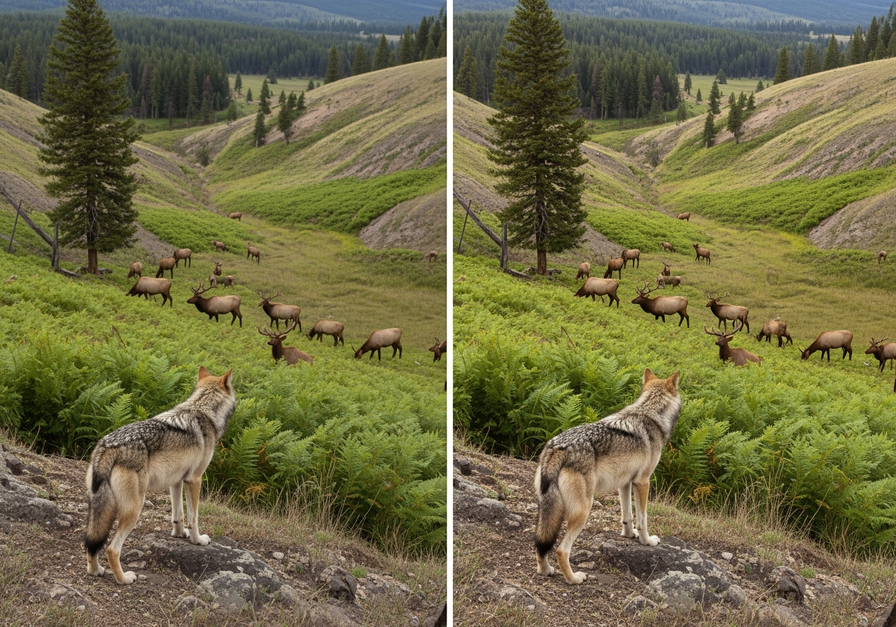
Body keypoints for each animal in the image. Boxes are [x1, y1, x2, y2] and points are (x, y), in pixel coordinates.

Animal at [84, 366, 236, 584]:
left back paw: (95, 570)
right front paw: (198, 540)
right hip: (134, 509)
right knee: (112, 549)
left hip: (100, 508)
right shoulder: (195, 479)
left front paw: (179, 534)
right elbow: (194, 518)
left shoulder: (176, 481)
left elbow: (178, 515)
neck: (204, 410)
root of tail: (106, 447)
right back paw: (124, 578)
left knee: (92, 542)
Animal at [534, 368, 681, 584]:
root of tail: (556, 448)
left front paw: (628, 535)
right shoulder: (643, 482)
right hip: (583, 510)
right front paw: (647, 541)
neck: (650, 414)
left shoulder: (625, 483)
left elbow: (627, 516)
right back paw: (574, 578)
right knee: (561, 550)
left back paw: (546, 570)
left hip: (549, 510)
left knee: (541, 544)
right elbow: (643, 519)